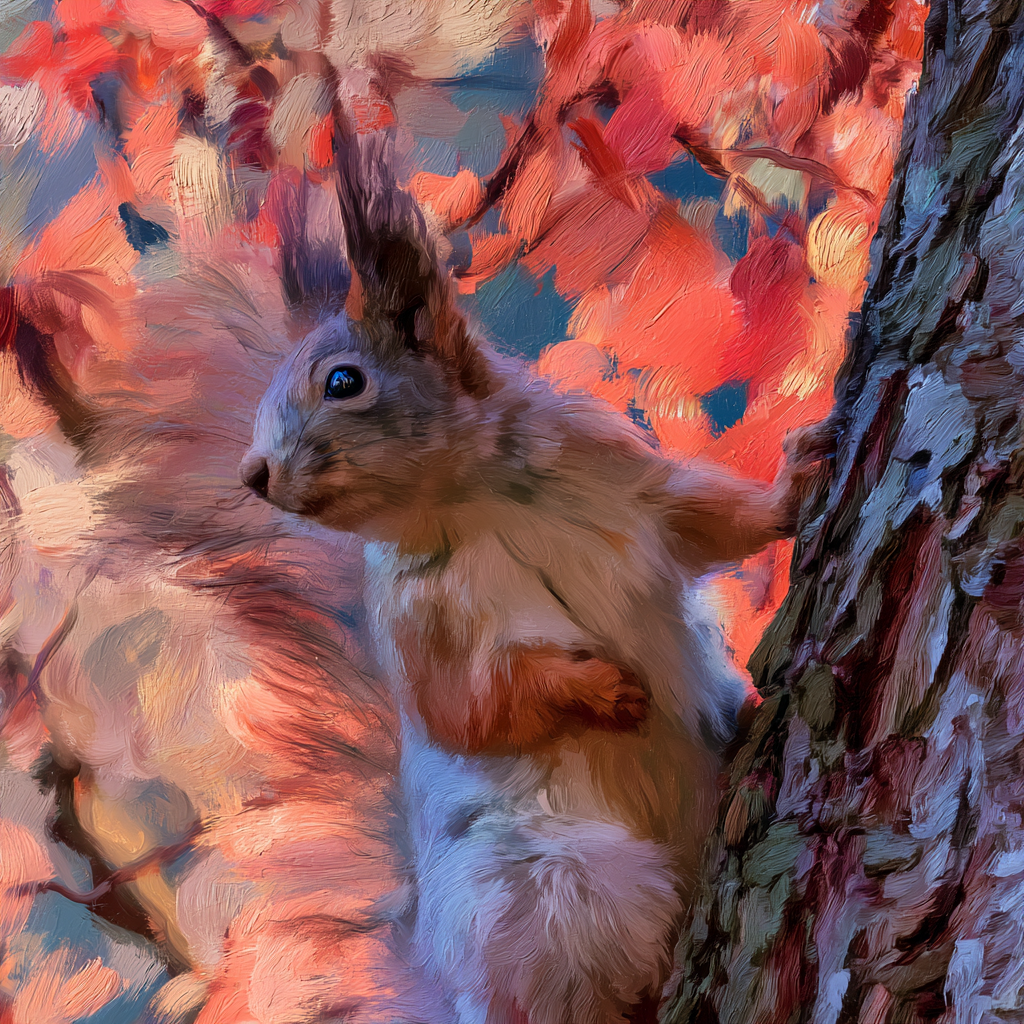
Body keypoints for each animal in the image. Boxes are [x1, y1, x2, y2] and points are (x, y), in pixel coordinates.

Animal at [241, 125, 831, 1024]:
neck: (472, 495)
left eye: (344, 381)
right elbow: (469, 706)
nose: (255, 475)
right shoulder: (419, 617)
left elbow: (710, 521)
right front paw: (600, 691)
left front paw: (796, 487)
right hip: (554, 891)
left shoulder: (628, 480)